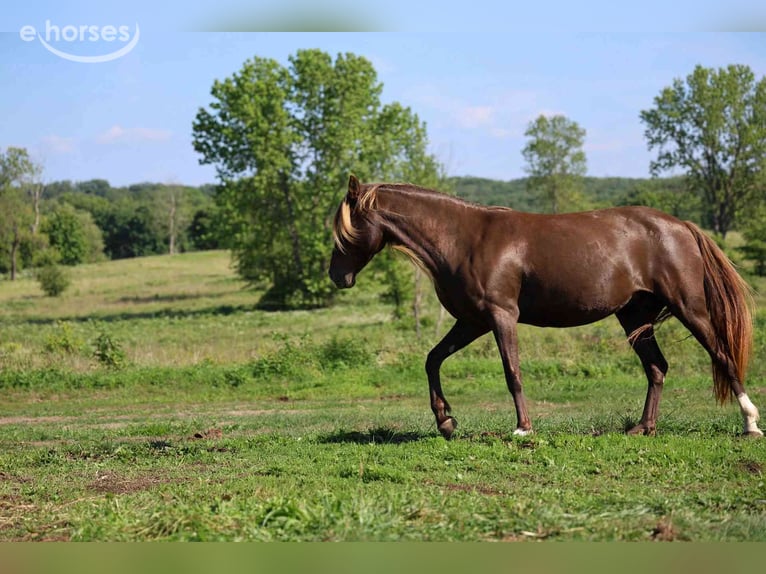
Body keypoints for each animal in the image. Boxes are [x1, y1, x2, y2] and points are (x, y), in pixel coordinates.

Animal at [328, 175, 762, 439]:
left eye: (347, 229)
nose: (337, 276)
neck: (465, 238)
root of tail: (681, 226)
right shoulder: (472, 321)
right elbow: (432, 359)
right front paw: (446, 421)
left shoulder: (501, 316)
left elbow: (512, 372)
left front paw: (523, 428)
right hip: (634, 316)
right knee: (657, 368)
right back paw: (643, 428)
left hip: (689, 308)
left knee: (722, 355)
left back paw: (750, 423)